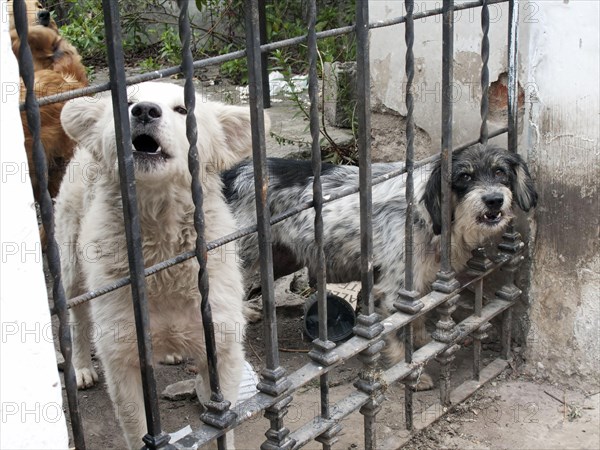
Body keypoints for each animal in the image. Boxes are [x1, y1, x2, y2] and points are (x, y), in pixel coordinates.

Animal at [57, 81, 258, 450]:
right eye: (127, 103)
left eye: (182, 109)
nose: (145, 111)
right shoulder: (121, 358)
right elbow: (138, 427)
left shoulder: (222, 344)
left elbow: (222, 418)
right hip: (71, 265)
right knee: (76, 320)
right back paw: (80, 367)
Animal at [223, 143, 536, 386]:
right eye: (464, 176)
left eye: (500, 172)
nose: (494, 200)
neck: (426, 214)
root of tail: (231, 174)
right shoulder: (395, 288)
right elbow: (399, 330)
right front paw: (412, 373)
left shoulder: (417, 282)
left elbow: (418, 318)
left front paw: (423, 341)